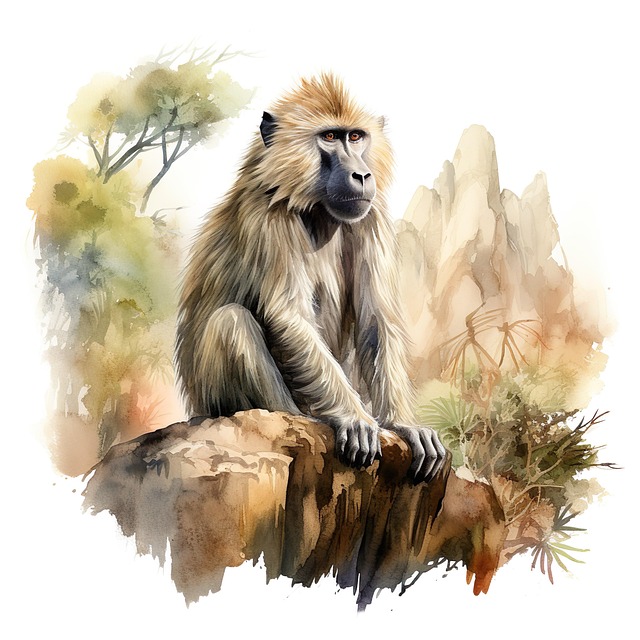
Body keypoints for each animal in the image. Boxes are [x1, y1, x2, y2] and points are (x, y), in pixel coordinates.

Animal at [176, 74, 446, 483]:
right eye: (330, 137)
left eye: (356, 137)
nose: (361, 174)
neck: (317, 209)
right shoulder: (268, 216)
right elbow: (288, 315)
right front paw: (353, 417)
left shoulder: (371, 216)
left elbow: (376, 322)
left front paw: (403, 424)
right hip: (215, 400)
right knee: (231, 321)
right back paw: (301, 419)